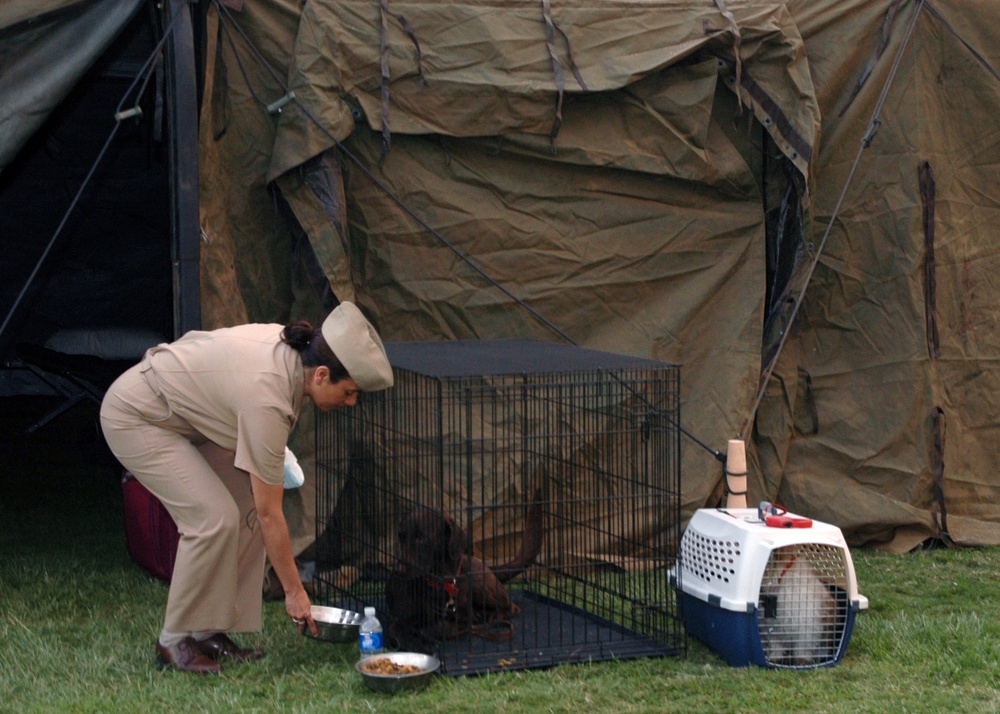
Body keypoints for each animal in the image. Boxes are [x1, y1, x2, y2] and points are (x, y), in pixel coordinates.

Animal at [386, 486, 544, 644]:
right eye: (401, 537)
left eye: (421, 538)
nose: (397, 570)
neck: (438, 582)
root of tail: (489, 568)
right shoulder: (398, 622)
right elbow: (406, 633)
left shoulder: (461, 618)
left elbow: (442, 627)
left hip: (479, 582)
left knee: (510, 607)